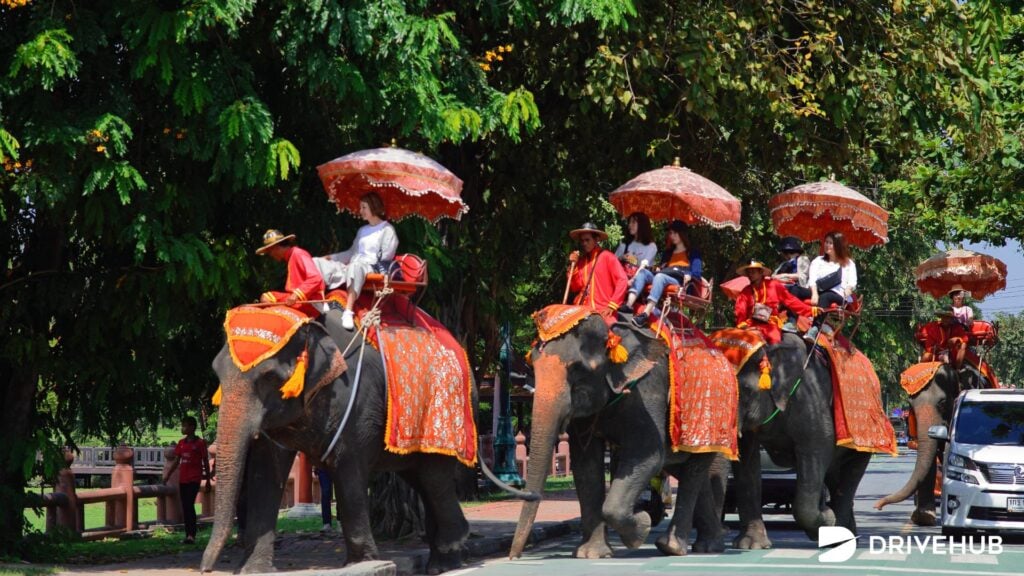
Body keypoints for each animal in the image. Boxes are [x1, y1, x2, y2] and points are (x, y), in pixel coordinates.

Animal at [200, 310, 529, 574]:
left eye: (269, 377)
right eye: (216, 372)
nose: (205, 569)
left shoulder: (357, 402)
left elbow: (349, 469)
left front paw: (363, 563)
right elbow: (266, 471)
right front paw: (253, 570)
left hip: (445, 416)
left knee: (433, 477)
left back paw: (445, 560)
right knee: (421, 478)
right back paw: (448, 557)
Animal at [509, 314, 727, 560]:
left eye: (577, 369)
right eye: (533, 366)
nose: (514, 556)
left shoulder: (648, 389)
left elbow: (649, 456)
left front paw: (641, 528)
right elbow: (585, 465)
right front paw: (592, 554)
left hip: (710, 421)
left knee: (695, 470)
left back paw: (671, 547)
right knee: (689, 471)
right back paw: (709, 546)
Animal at [730, 334, 873, 549]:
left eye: (745, 389)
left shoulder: (810, 400)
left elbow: (817, 448)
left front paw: (827, 518)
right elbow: (746, 460)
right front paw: (751, 545)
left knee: (850, 476)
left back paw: (837, 535)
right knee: (834, 476)